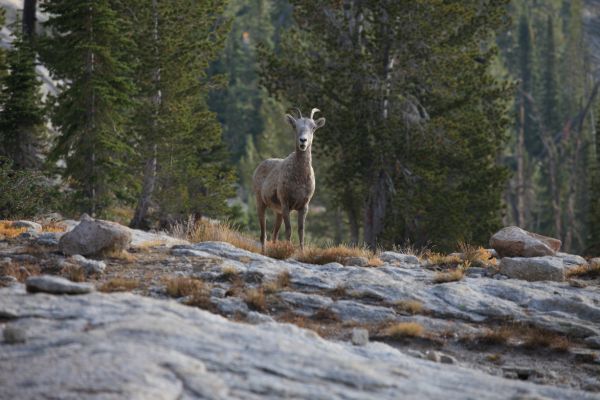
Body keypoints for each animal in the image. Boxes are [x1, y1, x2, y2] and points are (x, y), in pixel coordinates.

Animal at [253, 106, 328, 250]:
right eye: (295, 126)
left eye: (313, 127)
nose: (303, 141)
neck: (299, 178)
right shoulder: (286, 203)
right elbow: (289, 230)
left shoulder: (304, 206)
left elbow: (301, 231)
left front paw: (302, 251)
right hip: (261, 204)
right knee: (263, 235)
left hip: (278, 213)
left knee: (274, 236)